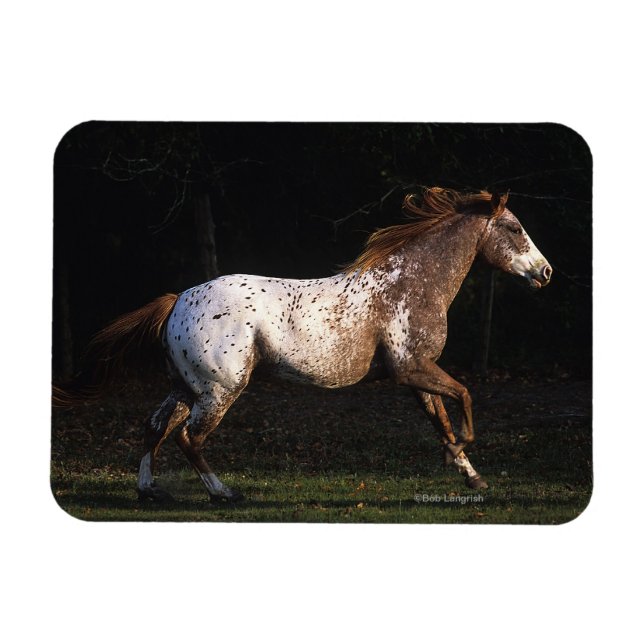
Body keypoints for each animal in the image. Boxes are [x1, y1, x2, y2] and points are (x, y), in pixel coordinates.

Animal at [53, 187, 552, 503]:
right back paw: (225, 493)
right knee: (188, 437)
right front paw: (461, 456)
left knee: (154, 427)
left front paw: (472, 477)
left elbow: (442, 419)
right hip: (219, 390)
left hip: (185, 387)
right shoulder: (410, 368)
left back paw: (149, 490)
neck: (410, 284)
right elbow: (463, 398)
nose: (545, 272)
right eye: (514, 228)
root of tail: (178, 301)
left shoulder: (418, 373)